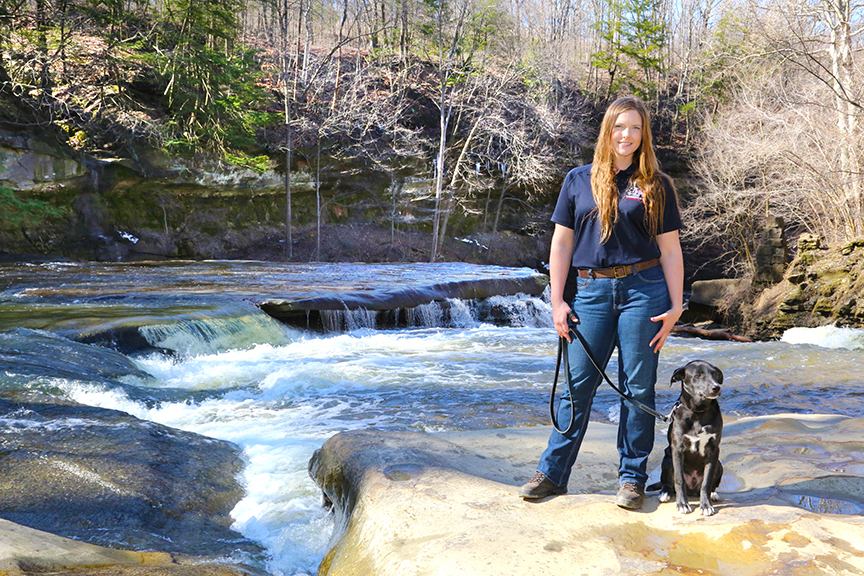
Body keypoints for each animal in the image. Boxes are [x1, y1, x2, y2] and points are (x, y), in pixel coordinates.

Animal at [656, 360, 724, 516]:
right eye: (698, 375)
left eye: (715, 374)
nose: (716, 387)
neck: (698, 412)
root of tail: (692, 489)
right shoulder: (677, 449)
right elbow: (679, 480)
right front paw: (682, 504)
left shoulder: (713, 450)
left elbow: (707, 482)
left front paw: (706, 505)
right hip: (667, 460)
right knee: (667, 483)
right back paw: (664, 493)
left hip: (719, 464)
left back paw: (713, 494)